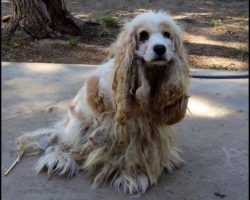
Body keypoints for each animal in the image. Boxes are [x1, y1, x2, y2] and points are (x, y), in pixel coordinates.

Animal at [11, 10, 189, 194]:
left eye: (167, 34)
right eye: (143, 35)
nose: (160, 48)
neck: (149, 77)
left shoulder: (150, 127)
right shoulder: (123, 127)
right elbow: (129, 151)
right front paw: (132, 176)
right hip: (79, 126)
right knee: (61, 142)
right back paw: (61, 159)